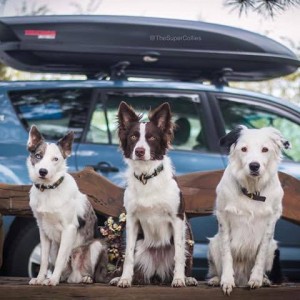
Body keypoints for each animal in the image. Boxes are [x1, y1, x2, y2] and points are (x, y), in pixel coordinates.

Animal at [26, 126, 107, 286]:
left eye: (55, 159)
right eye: (38, 156)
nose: (42, 172)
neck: (49, 189)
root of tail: (74, 275)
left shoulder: (69, 229)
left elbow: (60, 259)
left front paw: (52, 280)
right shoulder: (43, 231)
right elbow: (44, 260)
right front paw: (41, 278)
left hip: (96, 246)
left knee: (90, 272)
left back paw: (85, 278)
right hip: (54, 248)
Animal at [109, 101, 197, 288]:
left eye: (152, 138)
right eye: (133, 137)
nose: (140, 151)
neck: (146, 177)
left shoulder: (177, 218)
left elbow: (179, 255)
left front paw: (179, 279)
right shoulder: (132, 220)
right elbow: (128, 256)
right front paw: (124, 279)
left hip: (186, 236)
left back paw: (188, 278)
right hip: (140, 247)